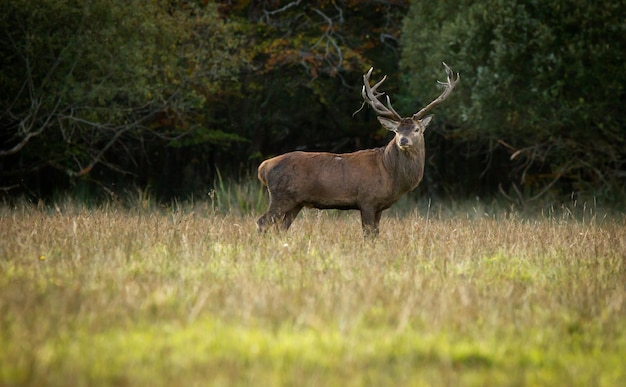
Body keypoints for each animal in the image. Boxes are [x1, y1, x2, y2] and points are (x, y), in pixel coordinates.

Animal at [255, 63, 458, 236]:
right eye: (396, 131)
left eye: (416, 129)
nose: (403, 140)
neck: (389, 172)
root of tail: (263, 167)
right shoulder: (366, 199)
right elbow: (368, 234)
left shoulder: (379, 206)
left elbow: (375, 233)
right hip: (282, 196)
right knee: (262, 222)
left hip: (296, 201)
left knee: (281, 228)